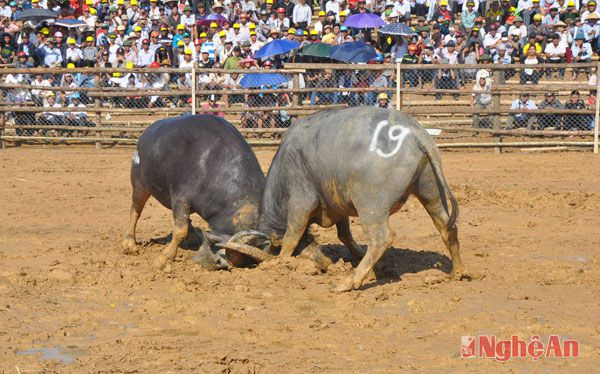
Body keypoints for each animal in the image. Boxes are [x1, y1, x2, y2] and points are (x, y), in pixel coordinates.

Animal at [119, 115, 264, 270]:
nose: (221, 263)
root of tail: (144, 135)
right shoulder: (180, 199)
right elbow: (180, 230)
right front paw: (163, 259)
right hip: (139, 183)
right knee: (135, 211)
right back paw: (130, 243)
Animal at [219, 107, 464, 292]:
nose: (324, 264)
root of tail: (415, 134)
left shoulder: (300, 202)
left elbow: (292, 235)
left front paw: (281, 263)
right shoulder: (338, 206)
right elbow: (344, 234)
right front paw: (359, 257)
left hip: (370, 205)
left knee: (382, 238)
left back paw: (348, 283)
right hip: (430, 191)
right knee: (446, 226)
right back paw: (458, 272)